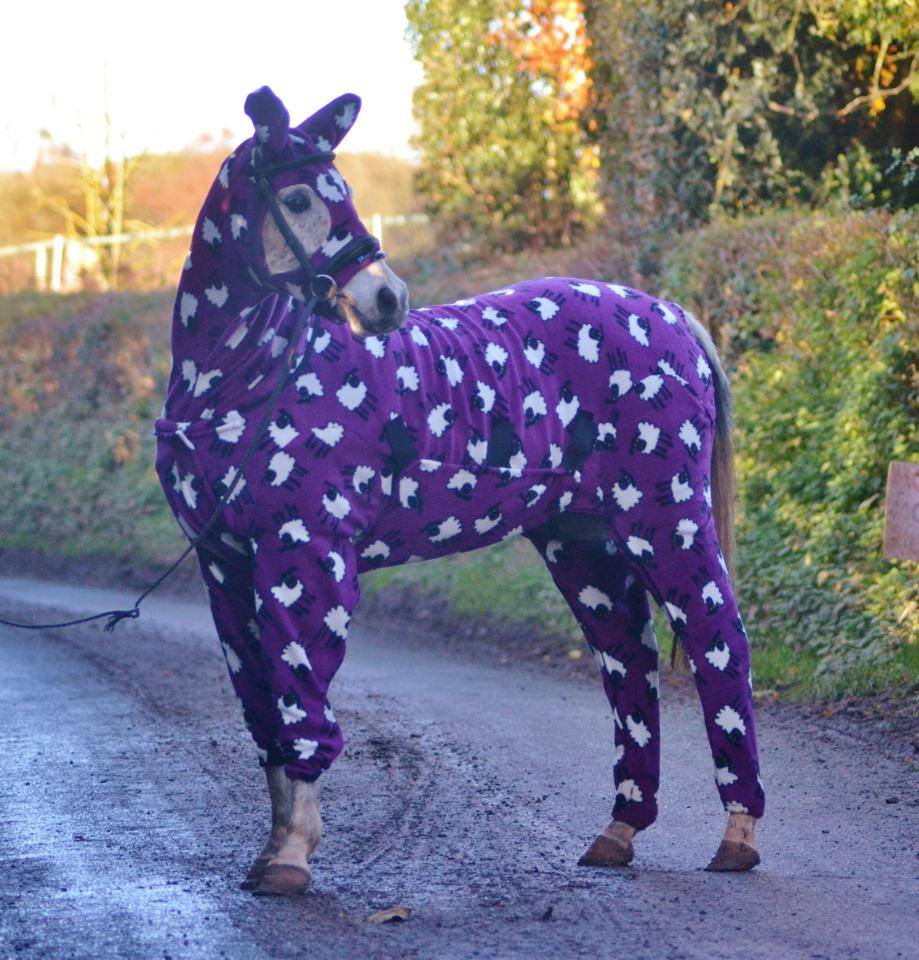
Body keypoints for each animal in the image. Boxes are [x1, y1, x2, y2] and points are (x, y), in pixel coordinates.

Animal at [155, 86, 764, 896]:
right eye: (298, 197)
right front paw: (273, 848)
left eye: (343, 192)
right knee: (628, 663)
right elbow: (265, 717)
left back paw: (738, 835)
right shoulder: (225, 566)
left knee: (718, 645)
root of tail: (669, 316)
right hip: (585, 548)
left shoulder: (304, 556)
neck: (249, 379)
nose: (387, 299)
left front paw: (291, 856)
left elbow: (301, 701)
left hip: (667, 522)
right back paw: (618, 832)